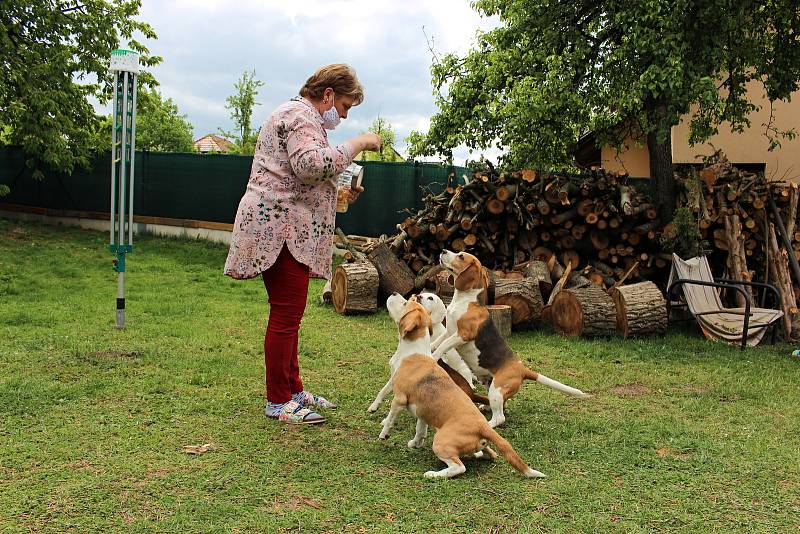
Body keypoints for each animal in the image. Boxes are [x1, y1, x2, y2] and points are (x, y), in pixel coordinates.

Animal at [380, 352, 548, 482]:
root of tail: (483, 426)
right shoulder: (422, 413)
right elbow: (420, 430)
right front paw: (415, 443)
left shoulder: (399, 400)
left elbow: (390, 419)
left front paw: (384, 433)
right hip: (478, 445)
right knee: (490, 454)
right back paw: (478, 454)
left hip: (441, 443)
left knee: (459, 467)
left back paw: (434, 474)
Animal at [432, 252, 588, 432]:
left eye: (461, 257)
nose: (443, 251)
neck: (464, 300)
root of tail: (522, 369)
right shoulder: (449, 332)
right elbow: (438, 342)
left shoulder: (462, 335)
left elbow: (443, 345)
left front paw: (434, 356)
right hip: (491, 386)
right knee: (500, 406)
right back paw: (486, 407)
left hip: (497, 389)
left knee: (500, 417)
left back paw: (487, 423)